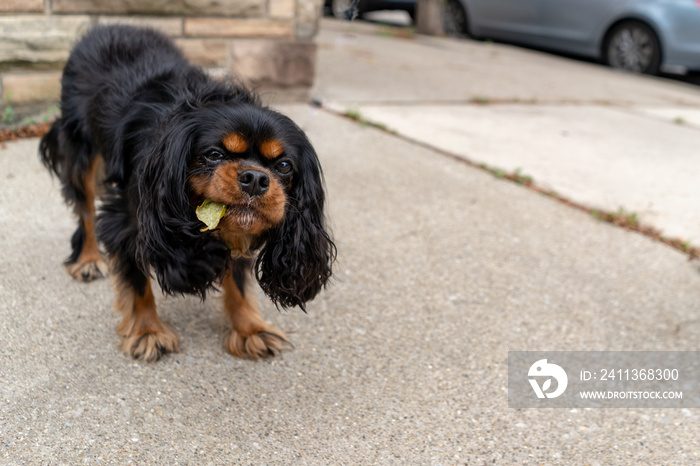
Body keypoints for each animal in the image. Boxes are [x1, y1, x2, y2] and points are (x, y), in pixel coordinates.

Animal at [40, 23, 336, 362]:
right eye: (214, 155)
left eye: (284, 166)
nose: (256, 178)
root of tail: (103, 27)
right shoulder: (128, 221)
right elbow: (136, 281)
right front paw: (147, 331)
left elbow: (238, 280)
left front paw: (250, 329)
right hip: (81, 154)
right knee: (86, 210)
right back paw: (88, 259)